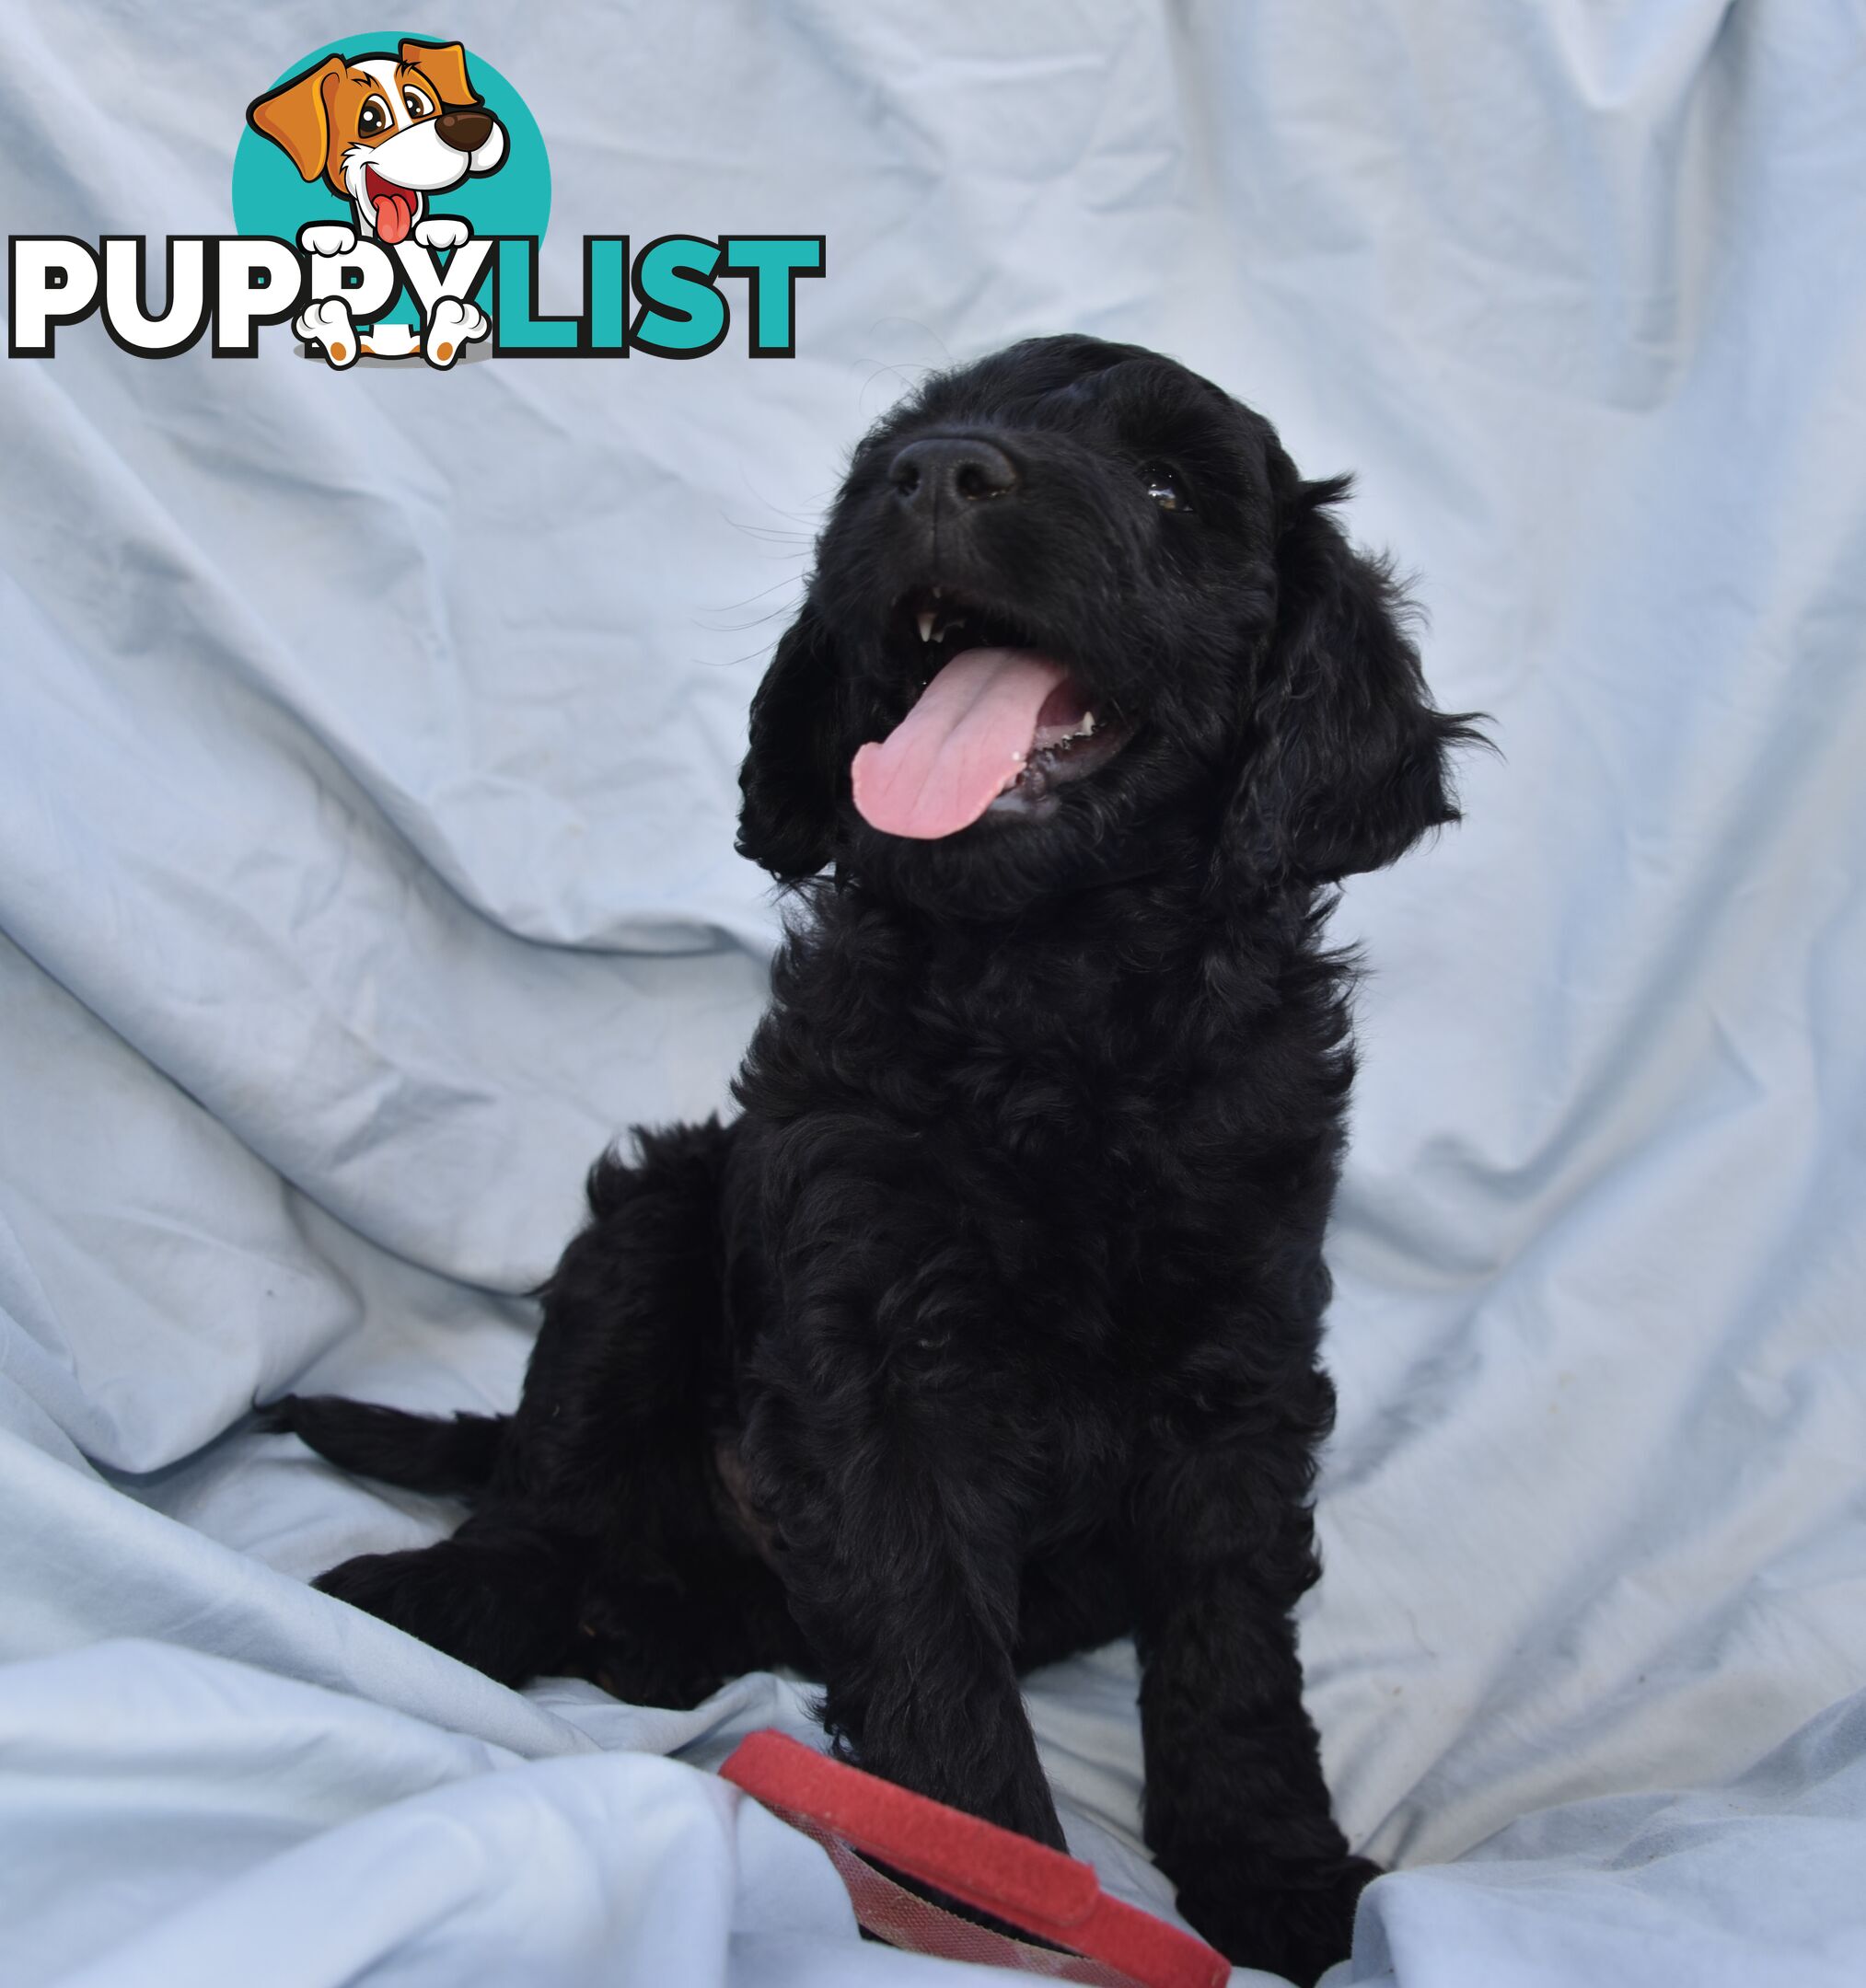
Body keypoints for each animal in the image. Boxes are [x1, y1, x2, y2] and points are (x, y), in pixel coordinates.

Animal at [272, 333, 1472, 1980]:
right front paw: (991, 1898)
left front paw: (1272, 1872)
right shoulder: (871, 1336)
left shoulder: (1238, 1355)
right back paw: (458, 1597)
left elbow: (1229, 1647)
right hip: (654, 1222)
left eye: (1170, 488)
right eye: (898, 443)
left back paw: (652, 1638)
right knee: (544, 1487)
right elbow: (929, 1648)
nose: (938, 472)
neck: (1053, 1004)